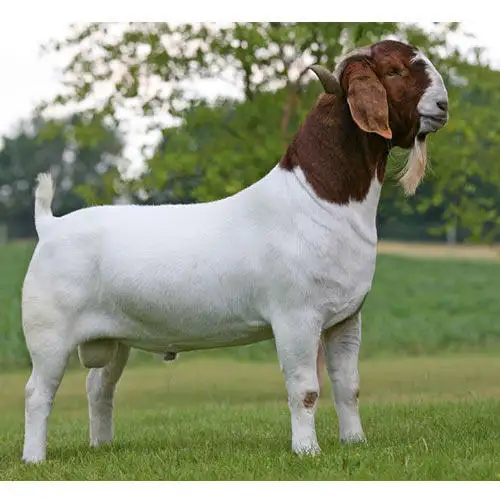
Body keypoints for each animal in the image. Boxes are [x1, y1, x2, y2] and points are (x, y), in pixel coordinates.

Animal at [21, 39, 450, 460]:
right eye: (393, 70)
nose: (443, 105)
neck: (316, 198)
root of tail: (51, 225)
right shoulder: (295, 317)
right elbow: (305, 389)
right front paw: (307, 450)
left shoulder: (345, 319)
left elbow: (349, 385)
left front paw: (355, 442)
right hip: (49, 334)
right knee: (37, 393)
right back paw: (34, 458)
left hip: (115, 339)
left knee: (99, 387)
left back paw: (103, 446)